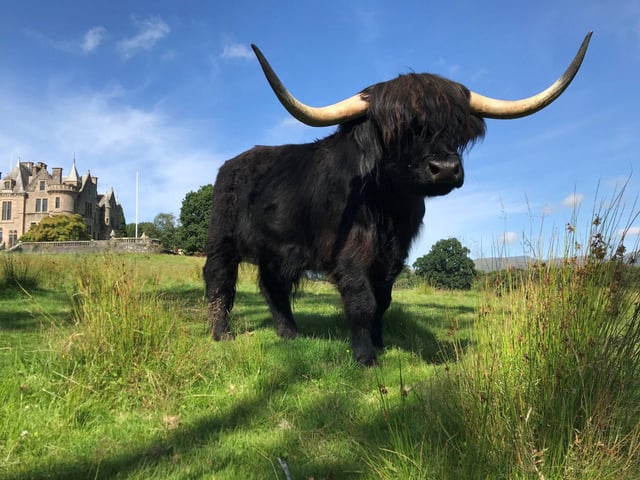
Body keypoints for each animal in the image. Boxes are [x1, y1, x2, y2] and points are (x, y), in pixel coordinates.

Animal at [203, 33, 592, 365]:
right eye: (400, 131)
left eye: (454, 128)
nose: (445, 169)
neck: (389, 204)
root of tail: (230, 164)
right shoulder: (351, 251)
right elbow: (362, 300)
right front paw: (367, 358)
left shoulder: (394, 253)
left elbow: (384, 299)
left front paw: (379, 342)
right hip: (222, 238)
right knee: (219, 279)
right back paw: (221, 334)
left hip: (276, 249)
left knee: (274, 286)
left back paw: (290, 334)